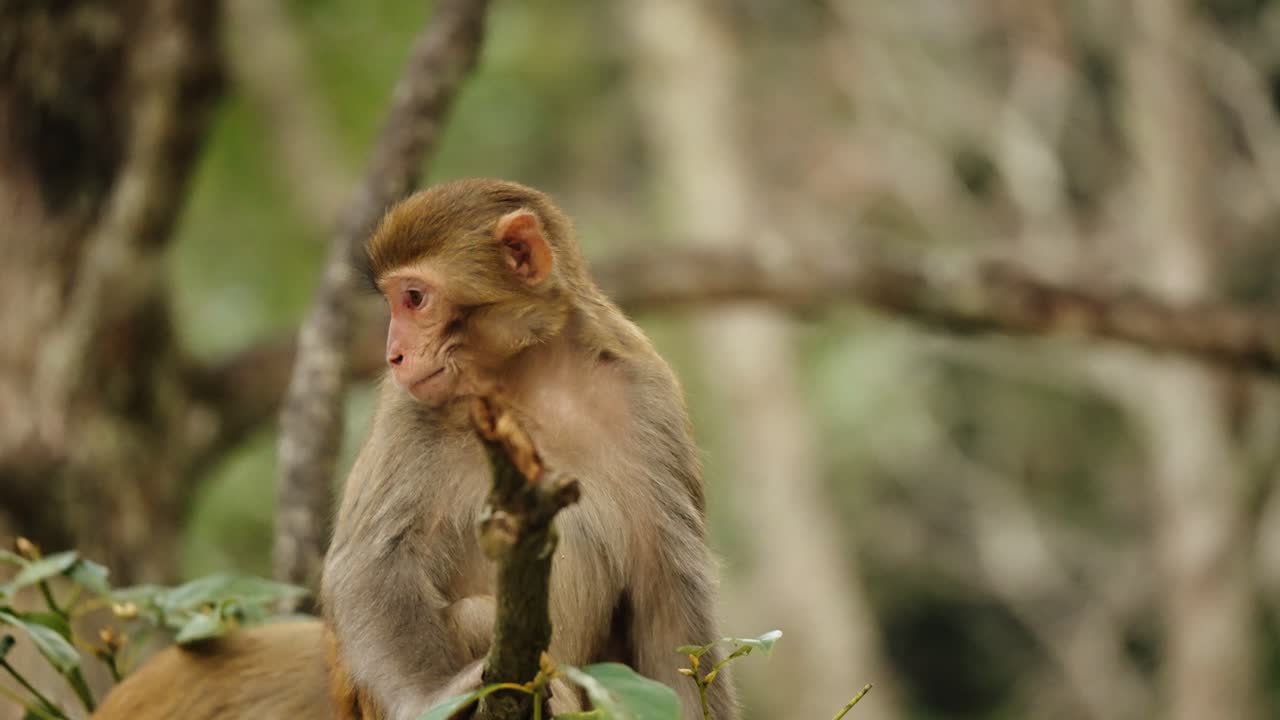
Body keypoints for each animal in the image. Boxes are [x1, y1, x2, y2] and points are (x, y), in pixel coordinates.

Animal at [321, 178, 738, 720]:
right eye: (396, 300)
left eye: (414, 298)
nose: (394, 354)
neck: (531, 378)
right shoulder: (406, 410)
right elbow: (368, 569)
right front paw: (430, 700)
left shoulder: (650, 396)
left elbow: (667, 599)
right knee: (477, 616)